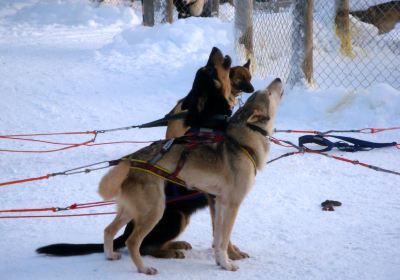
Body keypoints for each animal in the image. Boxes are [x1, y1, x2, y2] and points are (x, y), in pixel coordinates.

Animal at [35, 48, 253, 260]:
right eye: (208, 70)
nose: (215, 49)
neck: (210, 122)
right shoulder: (216, 197)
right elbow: (222, 231)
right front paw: (231, 254)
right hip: (176, 216)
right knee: (145, 246)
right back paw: (169, 251)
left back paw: (175, 244)